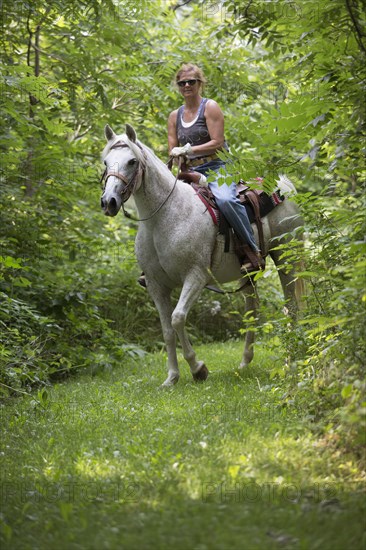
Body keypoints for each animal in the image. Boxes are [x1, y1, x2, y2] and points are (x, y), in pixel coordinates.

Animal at [101, 124, 304, 388]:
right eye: (106, 161)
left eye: (132, 161)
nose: (109, 202)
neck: (164, 217)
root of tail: (285, 184)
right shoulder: (156, 285)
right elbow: (167, 330)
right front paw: (172, 377)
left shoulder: (195, 276)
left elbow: (177, 318)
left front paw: (198, 369)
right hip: (249, 271)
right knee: (252, 307)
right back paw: (245, 361)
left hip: (286, 257)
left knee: (292, 305)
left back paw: (292, 360)